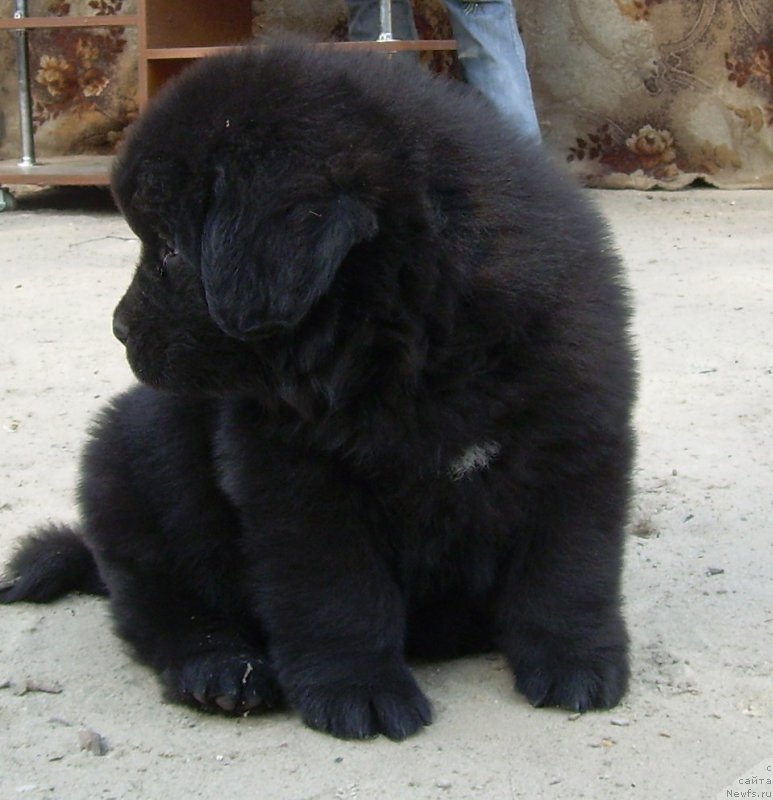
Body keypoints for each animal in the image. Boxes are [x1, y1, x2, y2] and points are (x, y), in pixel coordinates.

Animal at [3, 40, 636, 740]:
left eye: (169, 250)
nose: (117, 329)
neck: (417, 345)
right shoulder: (297, 479)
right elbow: (337, 590)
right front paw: (358, 690)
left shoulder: (577, 440)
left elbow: (568, 568)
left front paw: (575, 661)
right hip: (128, 464)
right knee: (160, 607)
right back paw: (221, 669)